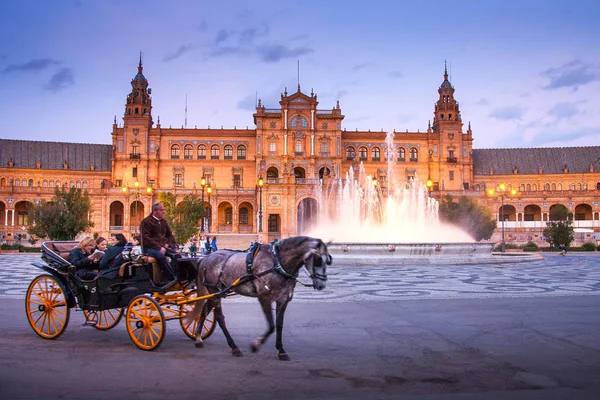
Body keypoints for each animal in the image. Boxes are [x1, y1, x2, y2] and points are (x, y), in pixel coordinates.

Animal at [186, 236, 332, 360]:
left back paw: (198, 338)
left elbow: (279, 325)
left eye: (328, 260)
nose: (322, 284)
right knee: (219, 318)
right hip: (214, 291)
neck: (278, 262)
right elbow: (271, 325)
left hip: (217, 292)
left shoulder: (283, 299)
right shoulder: (264, 297)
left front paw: (281, 350)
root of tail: (205, 258)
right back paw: (234, 347)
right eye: (318, 260)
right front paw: (256, 345)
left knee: (203, 311)